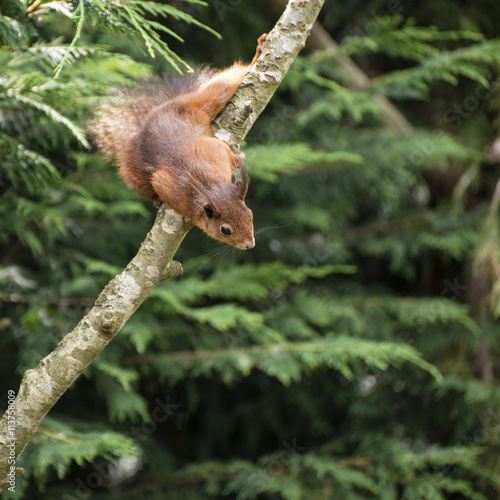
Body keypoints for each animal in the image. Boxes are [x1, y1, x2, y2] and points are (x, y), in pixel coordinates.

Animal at [91, 34, 268, 250]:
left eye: (250, 214)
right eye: (225, 230)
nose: (249, 245)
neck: (208, 185)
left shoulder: (213, 150)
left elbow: (221, 148)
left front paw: (236, 159)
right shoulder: (170, 187)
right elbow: (160, 184)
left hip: (204, 100)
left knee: (227, 82)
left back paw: (258, 53)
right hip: (133, 172)